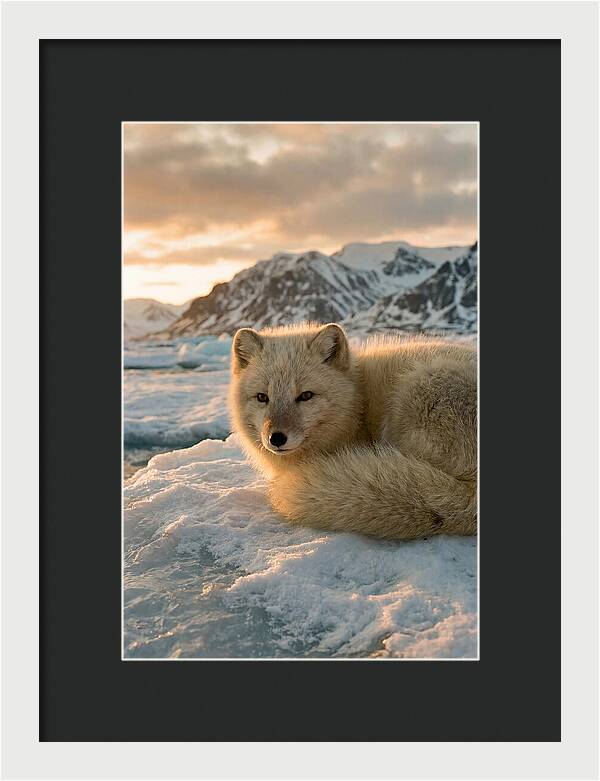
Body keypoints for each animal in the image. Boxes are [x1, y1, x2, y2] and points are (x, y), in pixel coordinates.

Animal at [229, 322, 477, 540]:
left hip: (415, 392)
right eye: (262, 397)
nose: (276, 438)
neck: (358, 402)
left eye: (306, 395)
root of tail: (471, 499)